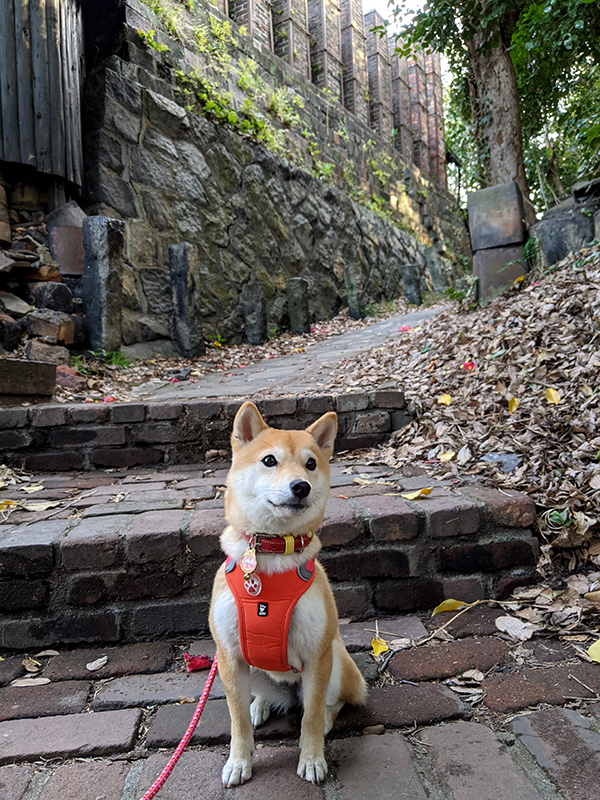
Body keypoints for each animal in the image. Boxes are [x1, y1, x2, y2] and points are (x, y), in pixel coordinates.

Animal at [213, 404, 368, 784]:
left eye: (311, 464)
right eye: (269, 460)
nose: (301, 486)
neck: (271, 555)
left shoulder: (316, 655)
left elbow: (309, 716)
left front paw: (312, 759)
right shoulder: (229, 657)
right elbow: (237, 719)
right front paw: (239, 761)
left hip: (336, 661)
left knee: (331, 703)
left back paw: (325, 718)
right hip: (252, 670)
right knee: (261, 699)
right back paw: (261, 705)